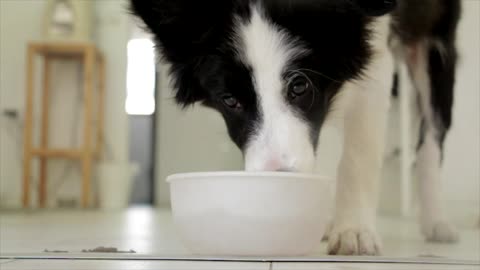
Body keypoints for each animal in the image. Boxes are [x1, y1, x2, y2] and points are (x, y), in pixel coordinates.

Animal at [130, 0, 462, 255]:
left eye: (300, 86)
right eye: (230, 100)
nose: (278, 180)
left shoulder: (373, 51)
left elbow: (359, 155)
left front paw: (354, 230)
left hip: (434, 43)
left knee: (432, 136)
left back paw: (437, 222)